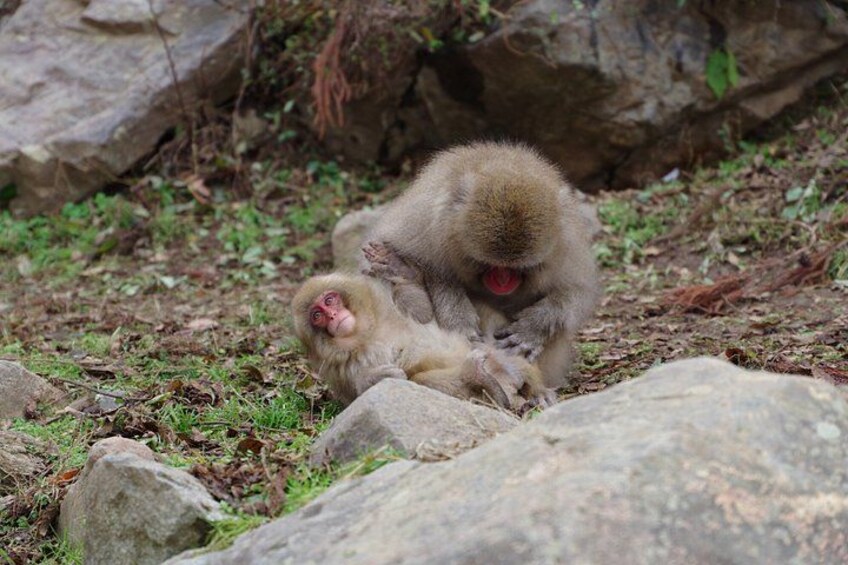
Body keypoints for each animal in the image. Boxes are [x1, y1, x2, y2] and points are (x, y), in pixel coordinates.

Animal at [291, 272, 552, 410]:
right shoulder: (340, 370)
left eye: (329, 300)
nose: (333, 316)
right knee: (421, 380)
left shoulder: (387, 303)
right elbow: (360, 392)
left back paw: (537, 390)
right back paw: (476, 376)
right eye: (317, 316)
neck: (368, 333)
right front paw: (376, 377)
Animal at [361, 141, 600, 390]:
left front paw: (533, 327)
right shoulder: (425, 221)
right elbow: (432, 271)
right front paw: (457, 315)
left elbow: (575, 293)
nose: (503, 282)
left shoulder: (567, 243)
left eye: (517, 269)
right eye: (488, 264)